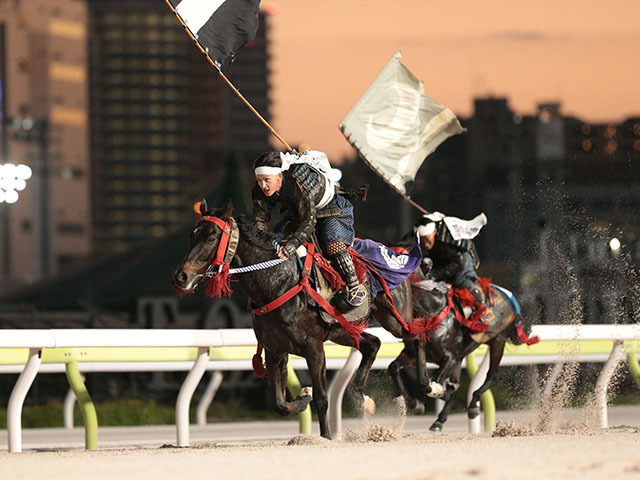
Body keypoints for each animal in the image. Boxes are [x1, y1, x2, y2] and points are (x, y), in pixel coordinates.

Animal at [172, 202, 438, 438]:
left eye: (210, 238)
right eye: (191, 236)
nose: (181, 276)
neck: (275, 282)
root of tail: (397, 253)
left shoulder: (313, 347)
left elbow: (322, 398)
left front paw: (326, 436)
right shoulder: (275, 350)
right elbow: (280, 403)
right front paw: (303, 397)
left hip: (393, 317)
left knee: (415, 336)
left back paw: (427, 387)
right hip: (342, 331)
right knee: (373, 344)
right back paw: (364, 399)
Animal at [388, 278, 532, 432]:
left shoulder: (450, 358)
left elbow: (434, 384)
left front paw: (440, 395)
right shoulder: (414, 354)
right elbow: (394, 367)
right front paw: (415, 404)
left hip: (497, 341)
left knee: (492, 375)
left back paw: (473, 406)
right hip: (462, 356)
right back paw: (439, 420)